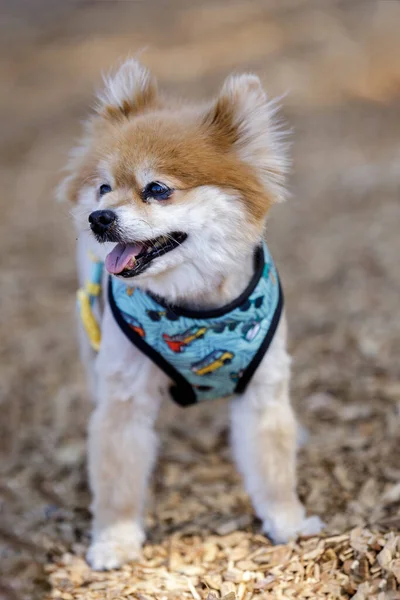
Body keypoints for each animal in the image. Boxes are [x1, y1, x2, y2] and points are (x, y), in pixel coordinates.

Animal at [58, 58, 322, 568]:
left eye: (157, 189)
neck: (197, 306)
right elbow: (118, 480)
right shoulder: (125, 399)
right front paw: (114, 540)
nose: (99, 218)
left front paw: (288, 522)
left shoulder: (262, 393)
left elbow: (274, 468)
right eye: (103, 188)